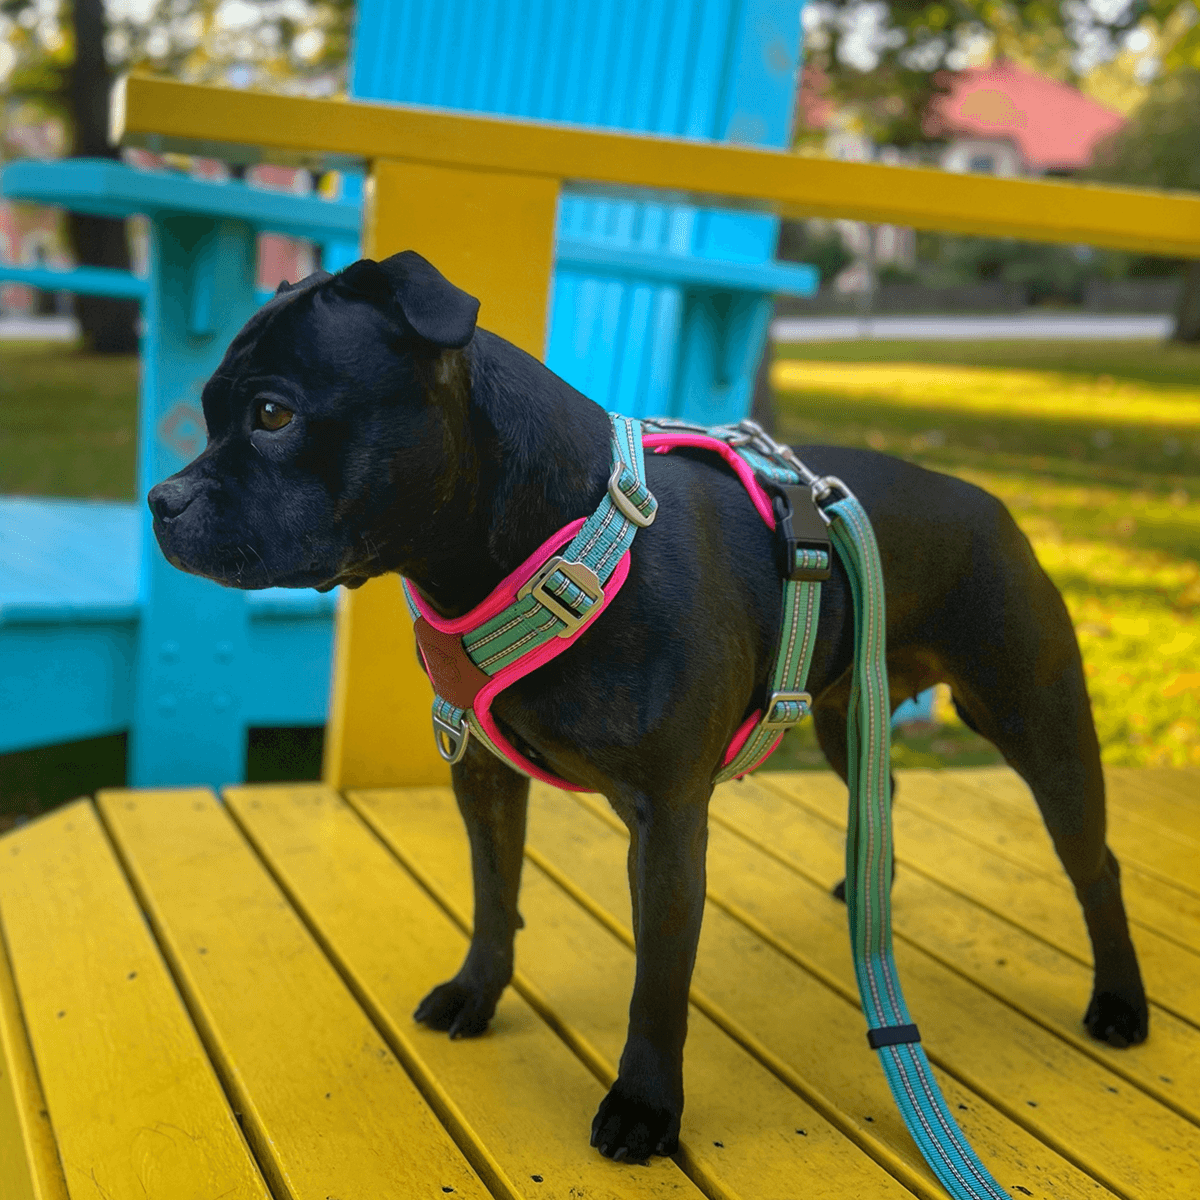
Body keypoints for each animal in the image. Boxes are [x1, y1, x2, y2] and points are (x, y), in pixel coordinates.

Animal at [152, 250, 1152, 1161]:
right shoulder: (485, 780)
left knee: (1096, 862)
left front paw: (644, 1105)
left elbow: (660, 977)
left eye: (273, 416)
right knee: (883, 790)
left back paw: (1120, 1001)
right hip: (844, 710)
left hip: (1037, 721)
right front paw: (479, 992)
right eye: (208, 413)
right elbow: (493, 895)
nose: (163, 499)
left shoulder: (667, 820)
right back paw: (862, 882)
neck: (564, 532)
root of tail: (996, 505)